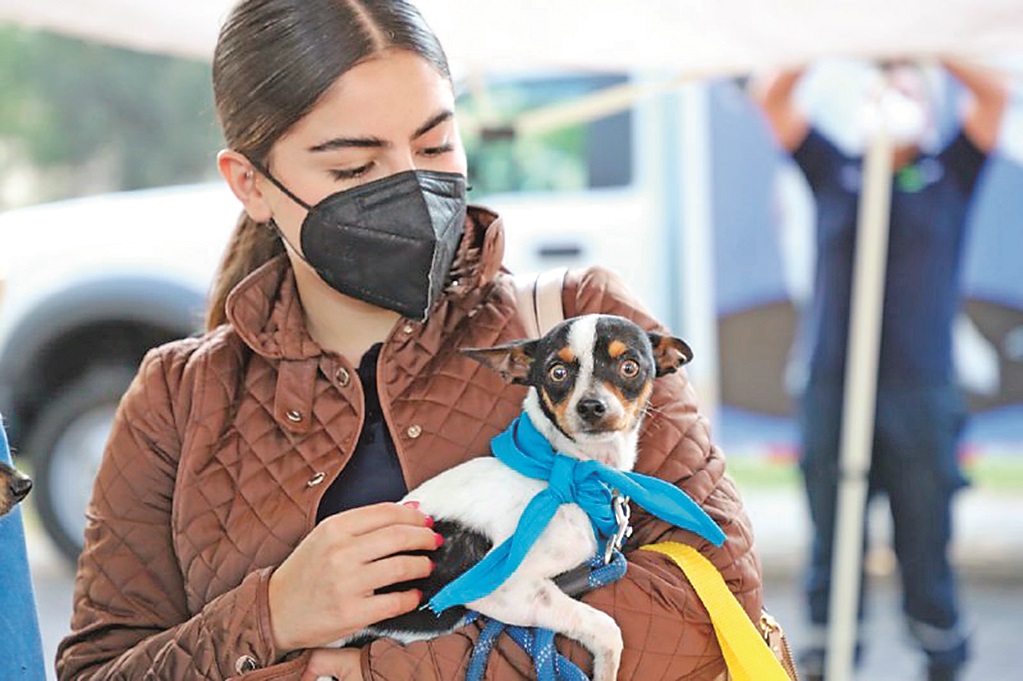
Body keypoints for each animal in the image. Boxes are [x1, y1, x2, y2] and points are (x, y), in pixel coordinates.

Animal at [331, 312, 699, 678]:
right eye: (557, 372)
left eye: (630, 367)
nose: (591, 406)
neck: (564, 471)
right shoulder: (503, 589)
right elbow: (606, 627)